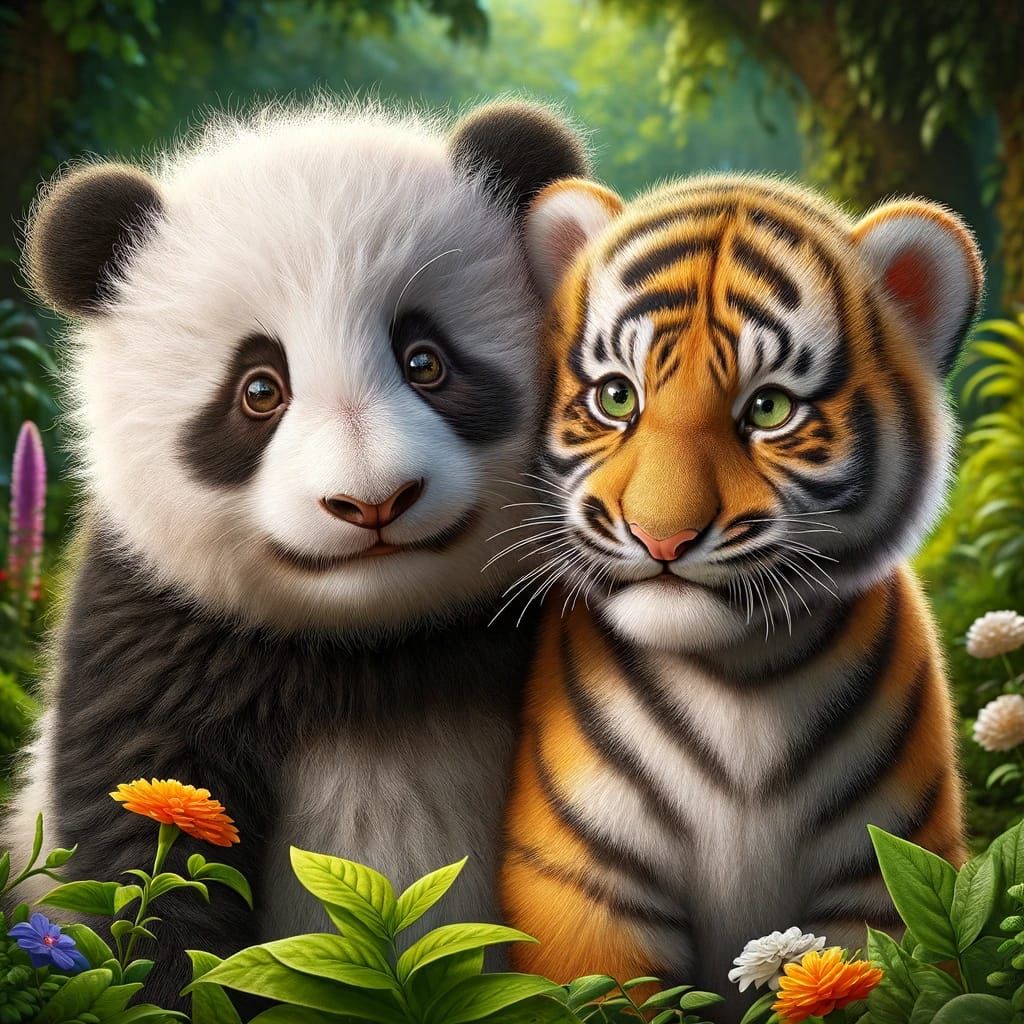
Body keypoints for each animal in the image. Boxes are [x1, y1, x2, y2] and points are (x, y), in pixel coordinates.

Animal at [6, 98, 588, 1005]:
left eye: (426, 361)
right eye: (259, 390)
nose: (373, 501)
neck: (373, 640)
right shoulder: (156, 634)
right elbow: (145, 852)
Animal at [497, 173, 981, 1020]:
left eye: (769, 409)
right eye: (617, 398)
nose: (661, 537)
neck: (739, 675)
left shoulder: (882, 879)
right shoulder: (584, 883)